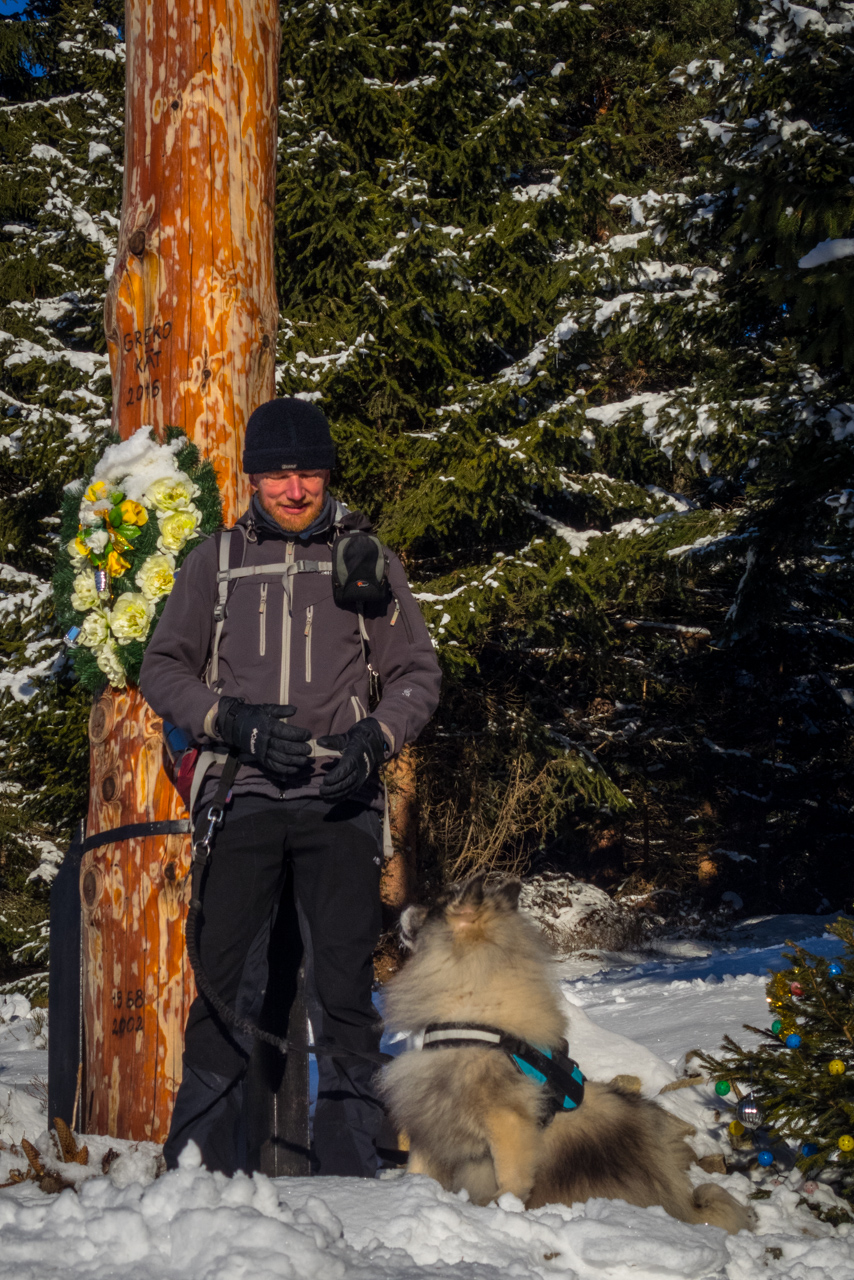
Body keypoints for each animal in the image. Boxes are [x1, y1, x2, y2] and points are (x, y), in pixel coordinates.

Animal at [384, 875, 752, 1233]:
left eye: (433, 907)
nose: (404, 908)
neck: (477, 1015)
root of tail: (679, 1200)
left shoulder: (505, 1123)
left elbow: (510, 1180)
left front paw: (502, 1209)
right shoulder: (430, 1124)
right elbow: (420, 1167)